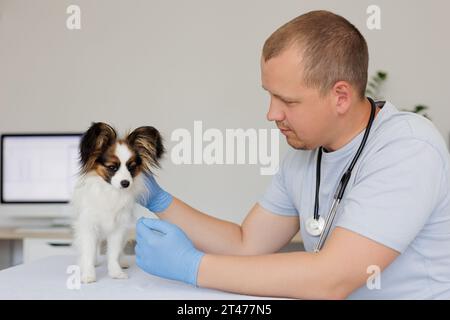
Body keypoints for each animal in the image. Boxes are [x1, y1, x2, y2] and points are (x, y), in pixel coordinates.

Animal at [69, 122, 163, 282]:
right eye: (112, 167)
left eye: (132, 167)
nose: (125, 183)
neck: (111, 192)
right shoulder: (88, 226)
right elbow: (88, 251)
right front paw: (88, 274)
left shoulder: (119, 228)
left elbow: (113, 253)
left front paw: (116, 272)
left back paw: (122, 261)